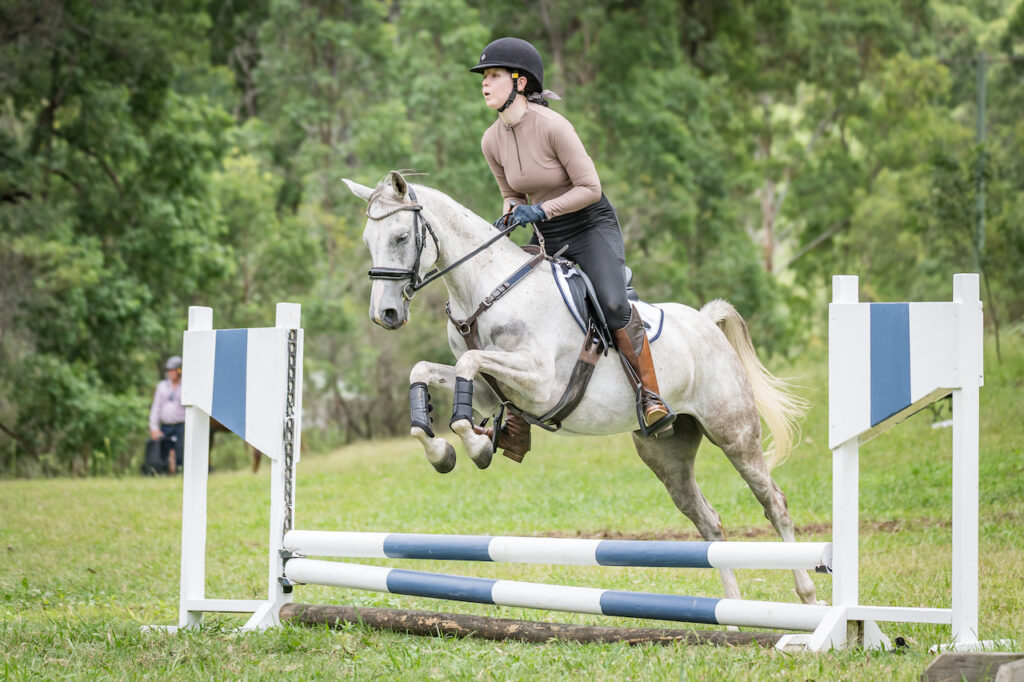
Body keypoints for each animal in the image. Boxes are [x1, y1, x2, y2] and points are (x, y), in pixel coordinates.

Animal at [342, 168, 815, 602]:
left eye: (402, 236)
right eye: (368, 240)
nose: (384, 314)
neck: (488, 291)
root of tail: (705, 321)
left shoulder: (538, 381)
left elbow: (469, 363)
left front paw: (476, 447)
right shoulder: (488, 392)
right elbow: (424, 371)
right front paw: (441, 451)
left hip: (733, 431)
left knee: (774, 503)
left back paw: (807, 595)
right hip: (666, 451)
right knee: (707, 520)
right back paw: (731, 613)